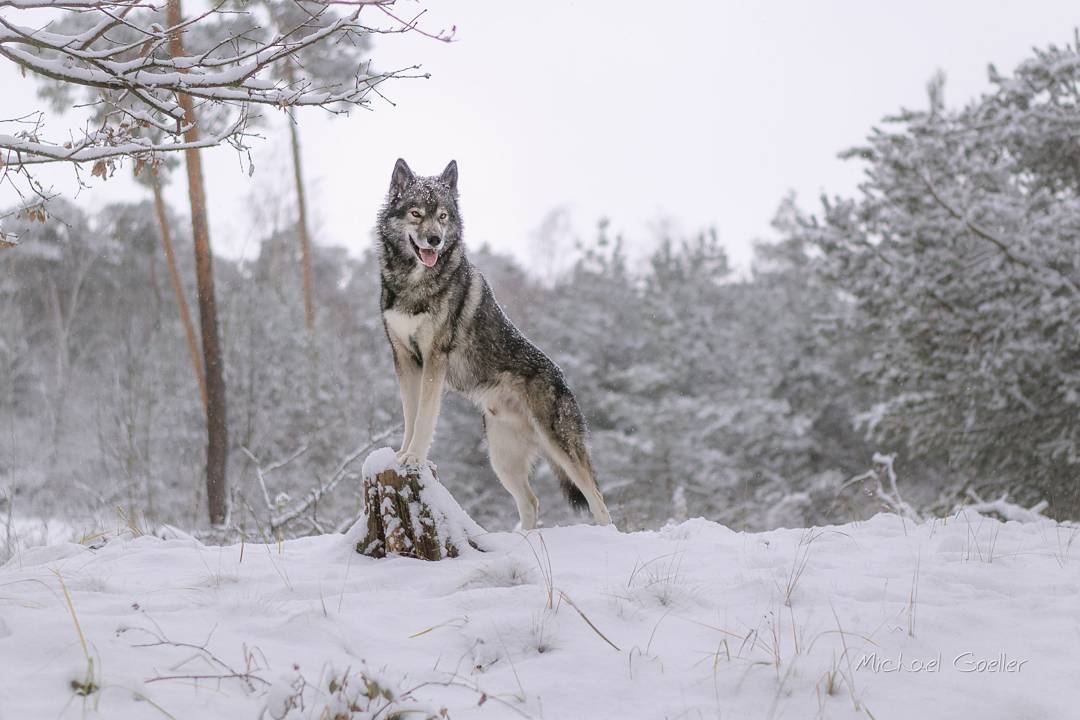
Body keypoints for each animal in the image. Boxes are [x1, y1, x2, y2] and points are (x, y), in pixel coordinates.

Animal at [375, 158, 613, 528]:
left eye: (443, 216)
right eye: (416, 213)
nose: (435, 239)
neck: (413, 283)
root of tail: (562, 378)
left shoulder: (434, 359)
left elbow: (425, 417)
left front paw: (414, 457)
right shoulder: (403, 358)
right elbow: (410, 415)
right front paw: (402, 454)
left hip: (559, 448)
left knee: (598, 502)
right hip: (502, 460)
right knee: (531, 502)